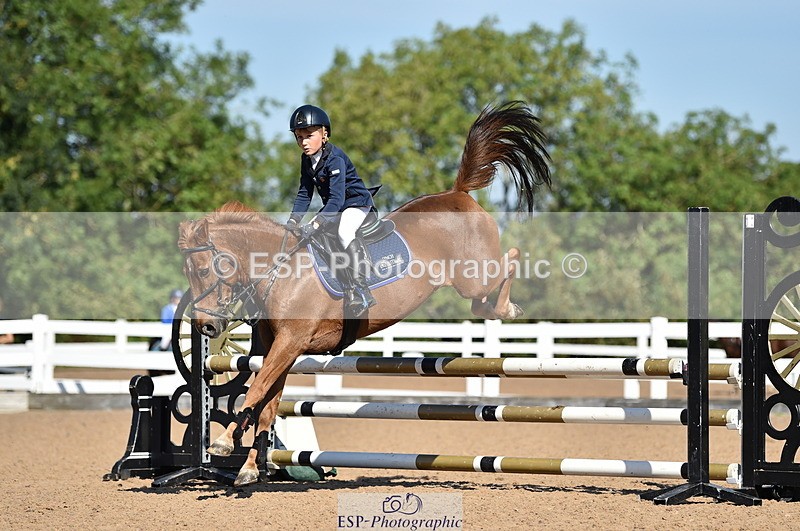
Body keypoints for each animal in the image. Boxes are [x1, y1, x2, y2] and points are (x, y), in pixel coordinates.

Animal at [178, 101, 552, 486]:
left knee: (508, 262)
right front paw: (249, 469)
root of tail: (459, 194)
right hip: (469, 282)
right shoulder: (278, 346)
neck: (281, 270)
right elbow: (266, 404)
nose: (206, 327)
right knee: (482, 303)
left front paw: (222, 443)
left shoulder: (290, 342)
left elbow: (255, 390)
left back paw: (510, 305)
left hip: (472, 276)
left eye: (203, 271)